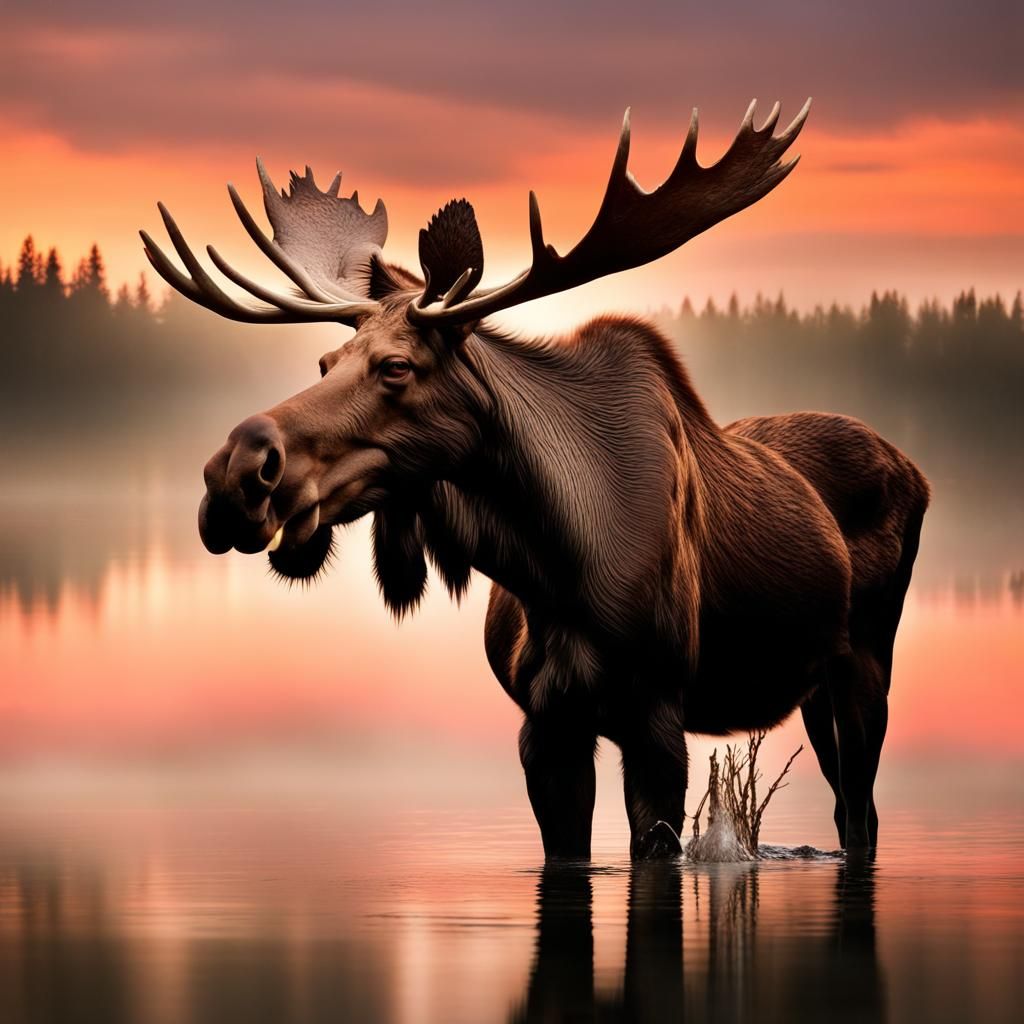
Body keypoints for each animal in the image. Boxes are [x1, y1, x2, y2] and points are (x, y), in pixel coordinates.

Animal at [141, 99, 929, 860]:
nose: (237, 471)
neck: (554, 564)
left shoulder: (656, 714)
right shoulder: (546, 725)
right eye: (326, 363)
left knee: (860, 811)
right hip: (816, 685)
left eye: (397, 367)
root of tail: (916, 470)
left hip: (867, 661)